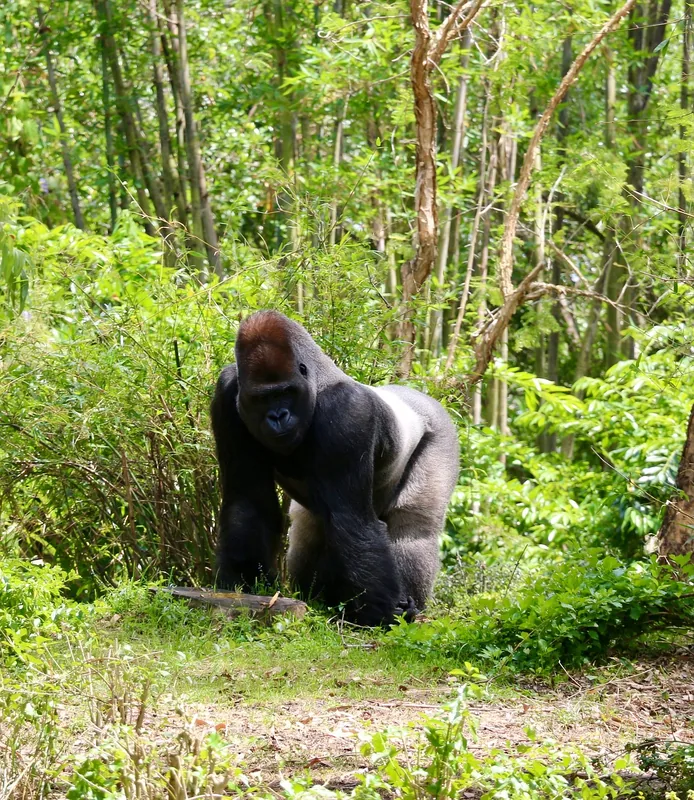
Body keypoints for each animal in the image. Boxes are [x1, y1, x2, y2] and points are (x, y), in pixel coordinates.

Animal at [210, 310, 459, 626]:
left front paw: (385, 612)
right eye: (261, 398)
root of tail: (417, 394)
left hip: (440, 430)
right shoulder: (227, 391)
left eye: (285, 392)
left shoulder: (347, 411)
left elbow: (351, 518)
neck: (316, 381)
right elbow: (248, 499)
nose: (278, 416)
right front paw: (242, 581)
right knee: (310, 526)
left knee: (414, 525)